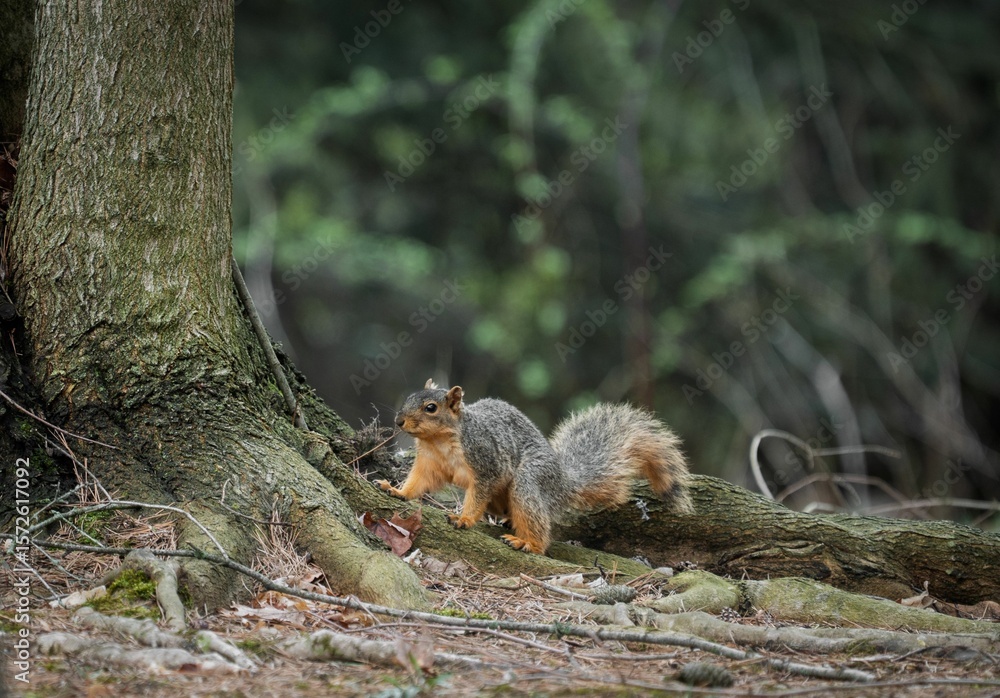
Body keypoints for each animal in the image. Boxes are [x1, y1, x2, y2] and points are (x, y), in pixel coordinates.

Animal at [377, 379, 692, 554]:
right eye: (408, 398)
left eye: (431, 408)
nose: (398, 421)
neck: (440, 442)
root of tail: (563, 482)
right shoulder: (429, 463)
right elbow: (419, 482)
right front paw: (396, 491)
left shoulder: (487, 463)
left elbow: (478, 494)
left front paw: (464, 519)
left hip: (530, 480)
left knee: (537, 524)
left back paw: (527, 543)